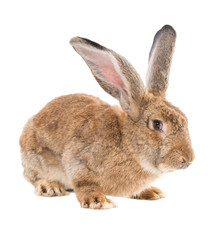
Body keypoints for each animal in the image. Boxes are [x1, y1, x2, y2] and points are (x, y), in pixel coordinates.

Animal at [19, 25, 194, 209]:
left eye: (185, 118)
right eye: (157, 124)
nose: (188, 159)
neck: (127, 144)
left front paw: (151, 192)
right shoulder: (78, 160)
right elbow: (84, 183)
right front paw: (98, 201)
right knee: (34, 178)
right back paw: (50, 186)